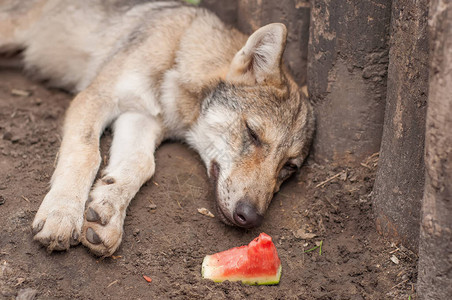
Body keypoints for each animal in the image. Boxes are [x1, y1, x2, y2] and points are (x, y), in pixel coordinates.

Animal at [0, 0, 314, 255]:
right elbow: (87, 155)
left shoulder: (140, 117)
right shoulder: (95, 97)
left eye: (289, 168)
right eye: (252, 133)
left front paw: (106, 211)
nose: (251, 218)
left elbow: (140, 165)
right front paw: (62, 214)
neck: (177, 55)